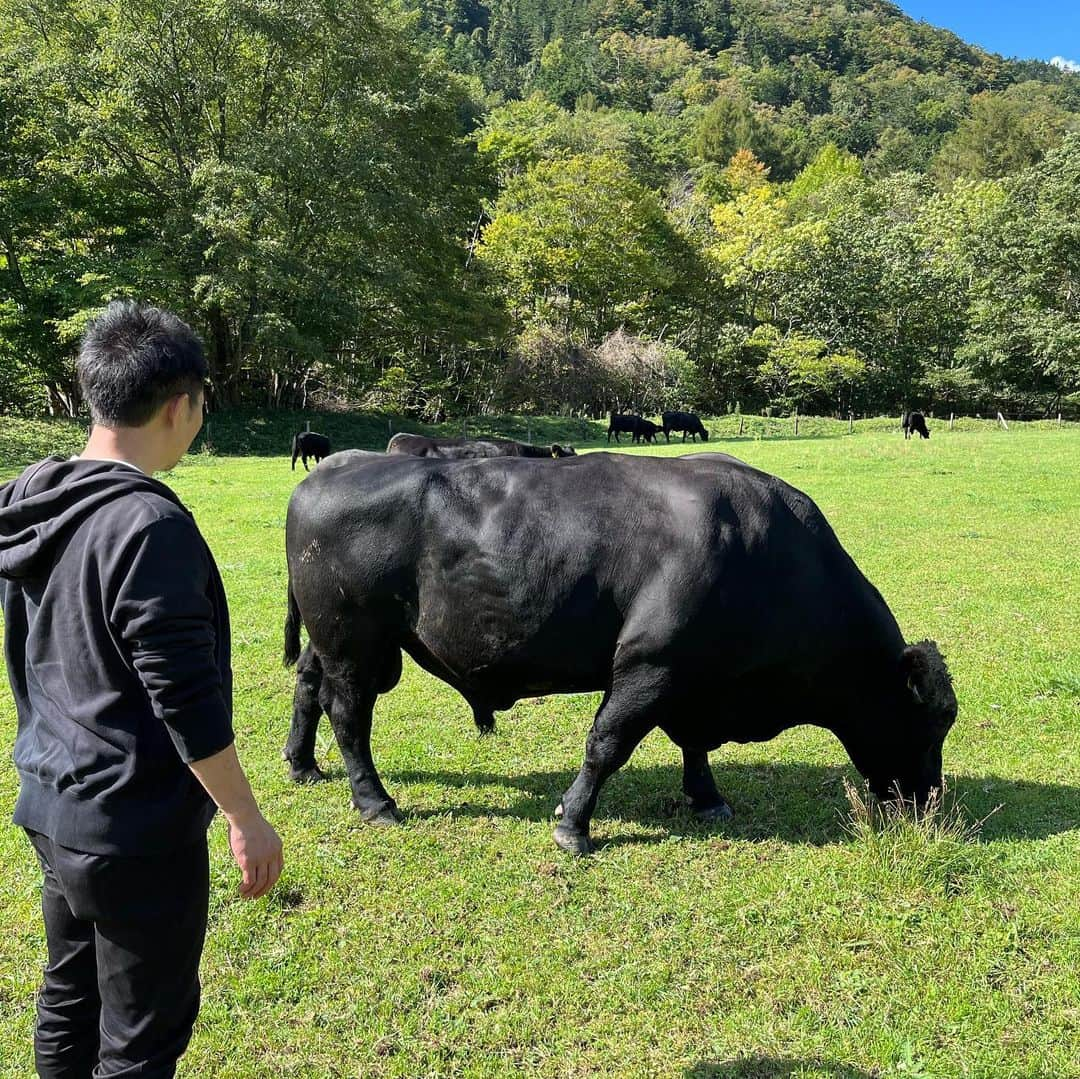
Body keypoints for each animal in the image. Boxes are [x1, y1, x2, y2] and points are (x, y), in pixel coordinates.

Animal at [282, 447, 959, 851]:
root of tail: (331, 466)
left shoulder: (693, 680)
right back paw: (375, 802)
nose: (929, 806)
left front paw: (707, 798)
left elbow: (692, 744)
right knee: (350, 715)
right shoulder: (650, 667)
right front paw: (573, 826)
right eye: (928, 726)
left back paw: (303, 765)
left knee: (309, 687)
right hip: (356, 646)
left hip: (332, 644)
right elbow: (607, 745)